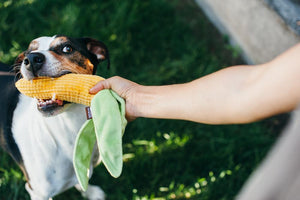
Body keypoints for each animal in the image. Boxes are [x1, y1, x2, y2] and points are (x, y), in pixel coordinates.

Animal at [0, 36, 110, 200]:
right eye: (29, 51)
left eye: (67, 48)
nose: (31, 59)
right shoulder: (37, 192)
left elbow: (81, 180)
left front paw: (90, 192)